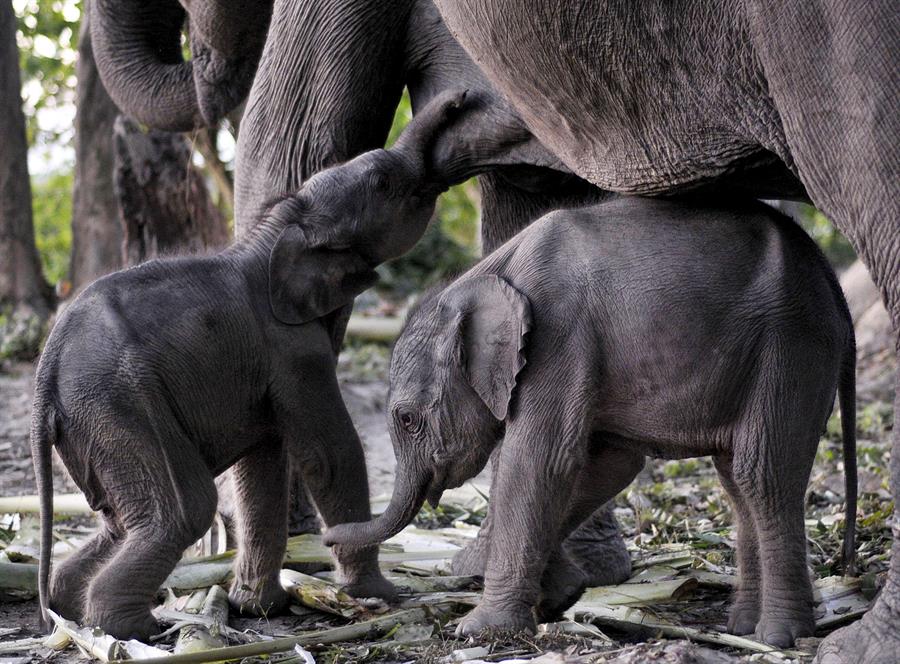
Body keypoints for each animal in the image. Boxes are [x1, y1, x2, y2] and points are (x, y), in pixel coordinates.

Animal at [426, 2, 896, 660]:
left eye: (408, 421)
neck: (490, 278)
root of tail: (831, 282)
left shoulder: (558, 341)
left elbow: (544, 459)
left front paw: (481, 630)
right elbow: (603, 460)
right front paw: (558, 595)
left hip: (791, 346)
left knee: (762, 472)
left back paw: (780, 638)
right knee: (738, 477)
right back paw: (743, 628)